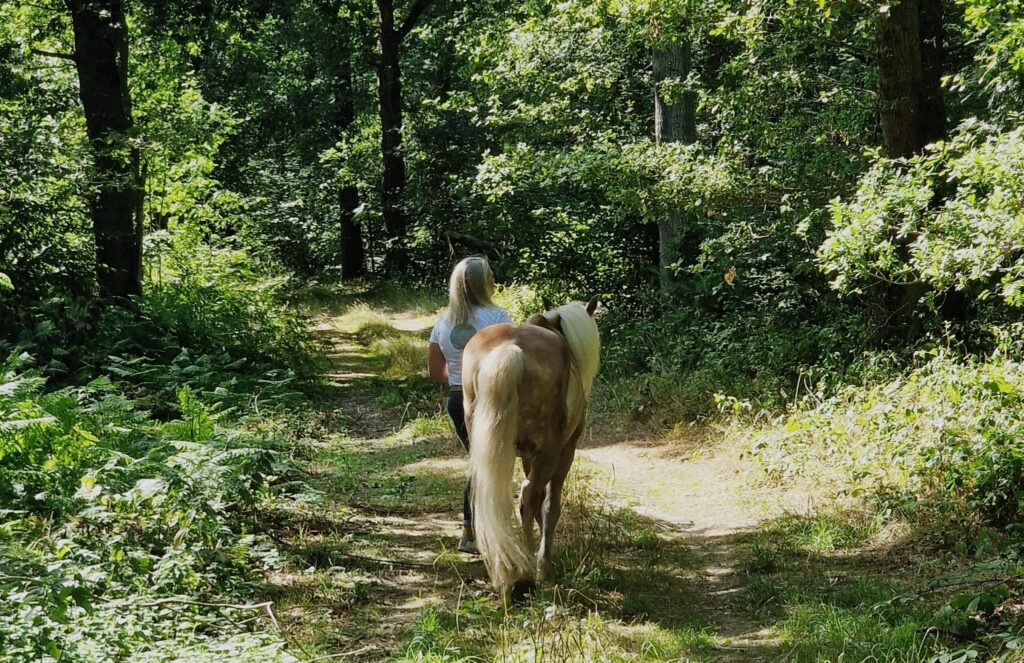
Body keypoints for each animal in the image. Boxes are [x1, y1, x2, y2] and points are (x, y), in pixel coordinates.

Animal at [462, 296, 600, 601]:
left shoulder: (527, 455)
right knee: (528, 496)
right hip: (549, 451)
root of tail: (511, 349)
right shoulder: (564, 452)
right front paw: (544, 563)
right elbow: (550, 506)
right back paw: (526, 574)